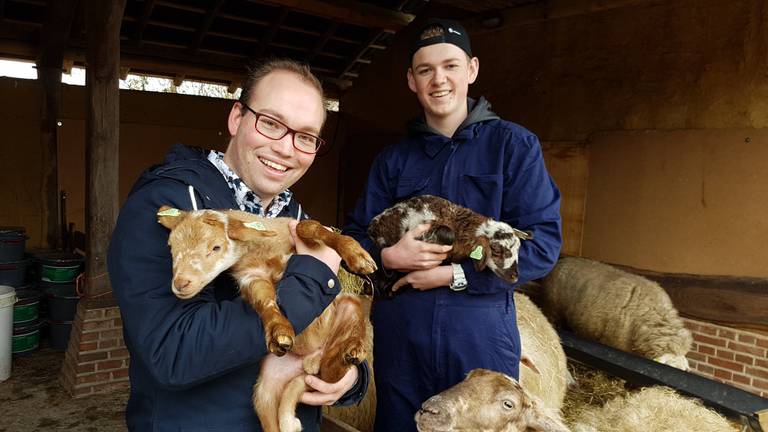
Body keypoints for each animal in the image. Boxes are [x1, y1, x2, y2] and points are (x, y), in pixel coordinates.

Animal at [157, 207, 378, 432]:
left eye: (216, 247)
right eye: (171, 247)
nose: (180, 284)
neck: (260, 251)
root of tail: (312, 360)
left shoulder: (291, 231)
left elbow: (307, 226)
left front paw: (357, 257)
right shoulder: (252, 276)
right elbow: (265, 302)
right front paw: (279, 332)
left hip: (351, 305)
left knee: (333, 371)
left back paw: (351, 352)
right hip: (264, 393)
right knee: (323, 377)